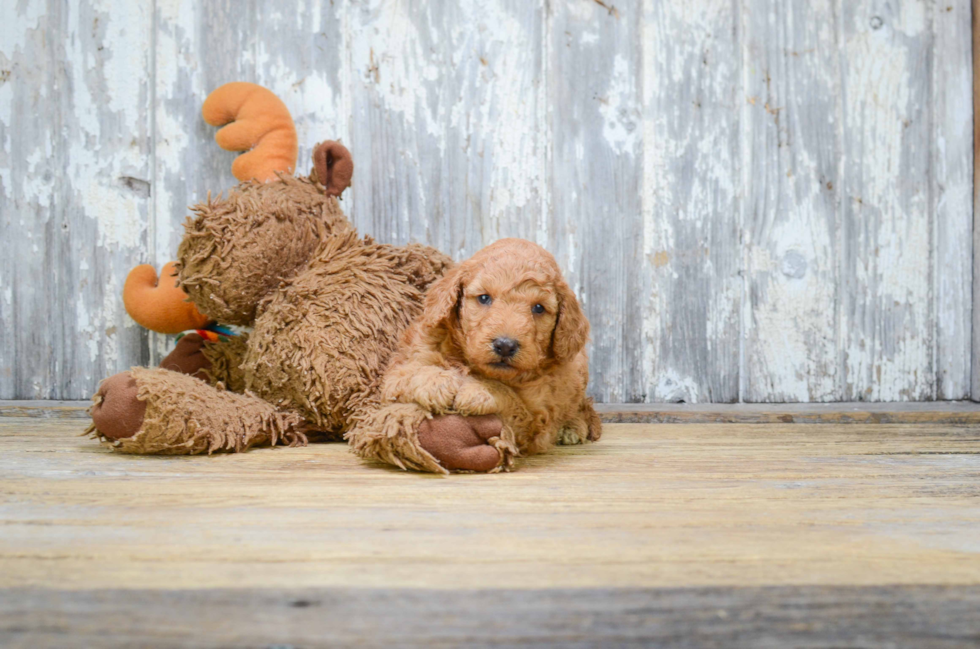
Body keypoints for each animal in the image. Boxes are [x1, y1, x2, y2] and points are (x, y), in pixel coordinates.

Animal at [348, 238, 600, 470]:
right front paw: (437, 383)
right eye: (484, 298)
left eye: (538, 308)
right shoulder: (402, 366)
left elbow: (512, 402)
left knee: (583, 405)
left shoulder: (537, 418)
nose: (505, 345)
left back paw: (573, 427)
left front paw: (480, 391)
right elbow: (412, 372)